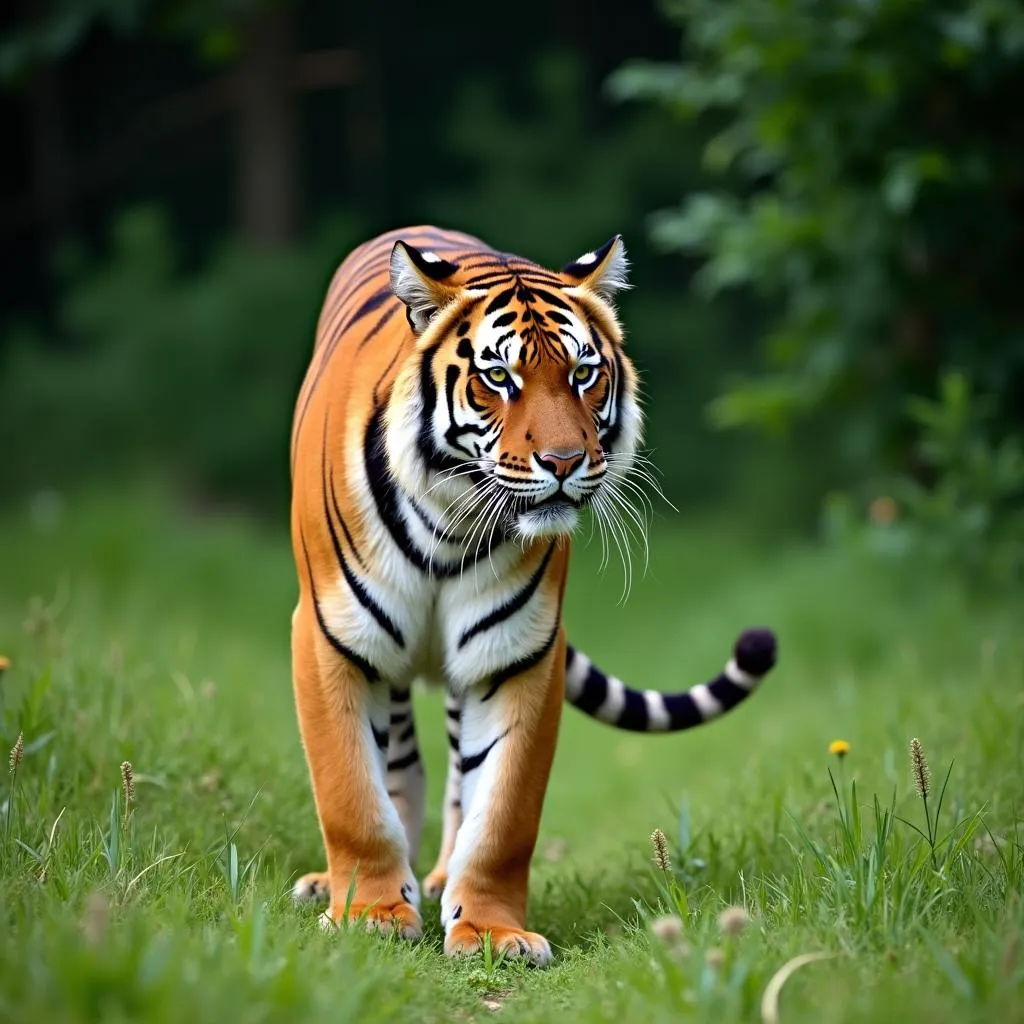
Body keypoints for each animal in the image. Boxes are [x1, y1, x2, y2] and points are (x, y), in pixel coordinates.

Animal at [288, 226, 774, 966]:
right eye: (498, 378)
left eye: (582, 374)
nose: (566, 462)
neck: (451, 521)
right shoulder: (331, 636)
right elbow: (353, 795)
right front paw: (369, 914)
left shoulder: (516, 653)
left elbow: (502, 813)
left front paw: (492, 932)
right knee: (399, 767)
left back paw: (437, 881)